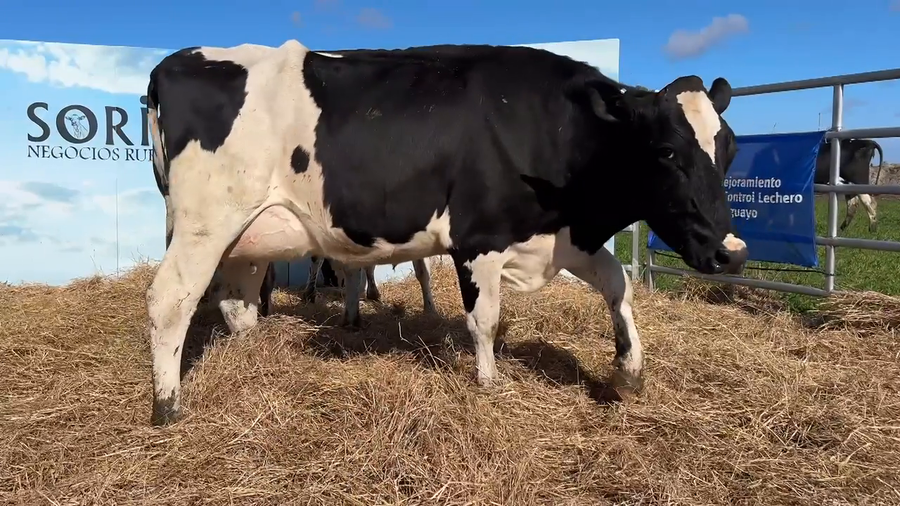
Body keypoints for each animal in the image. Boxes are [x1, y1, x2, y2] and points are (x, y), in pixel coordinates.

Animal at [144, 40, 748, 426]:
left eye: (730, 148)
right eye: (666, 152)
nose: (732, 253)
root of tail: (171, 63)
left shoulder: (560, 234)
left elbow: (617, 283)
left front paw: (628, 371)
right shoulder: (480, 239)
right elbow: (484, 319)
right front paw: (489, 384)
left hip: (247, 238)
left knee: (235, 304)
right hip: (205, 224)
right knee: (170, 299)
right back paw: (167, 404)